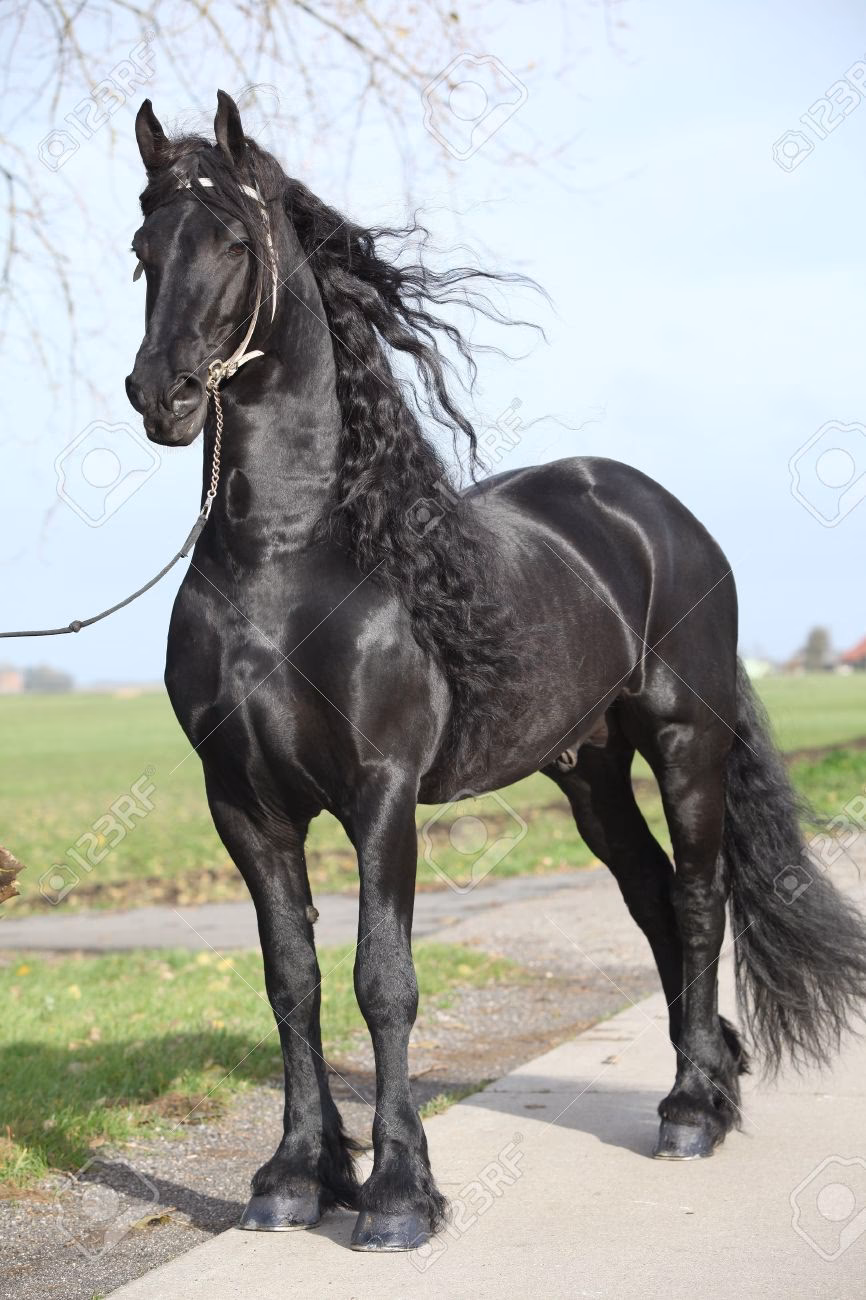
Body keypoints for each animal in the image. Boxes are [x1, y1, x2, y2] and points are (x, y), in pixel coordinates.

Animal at [125, 90, 866, 1252]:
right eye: (142, 248)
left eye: (236, 244)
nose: (159, 396)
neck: (283, 561)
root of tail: (659, 513)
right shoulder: (243, 804)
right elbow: (291, 982)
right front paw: (296, 1176)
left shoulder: (381, 796)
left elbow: (382, 981)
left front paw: (396, 1194)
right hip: (588, 771)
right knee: (651, 898)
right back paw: (708, 1078)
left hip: (684, 741)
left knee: (698, 899)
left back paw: (691, 1111)